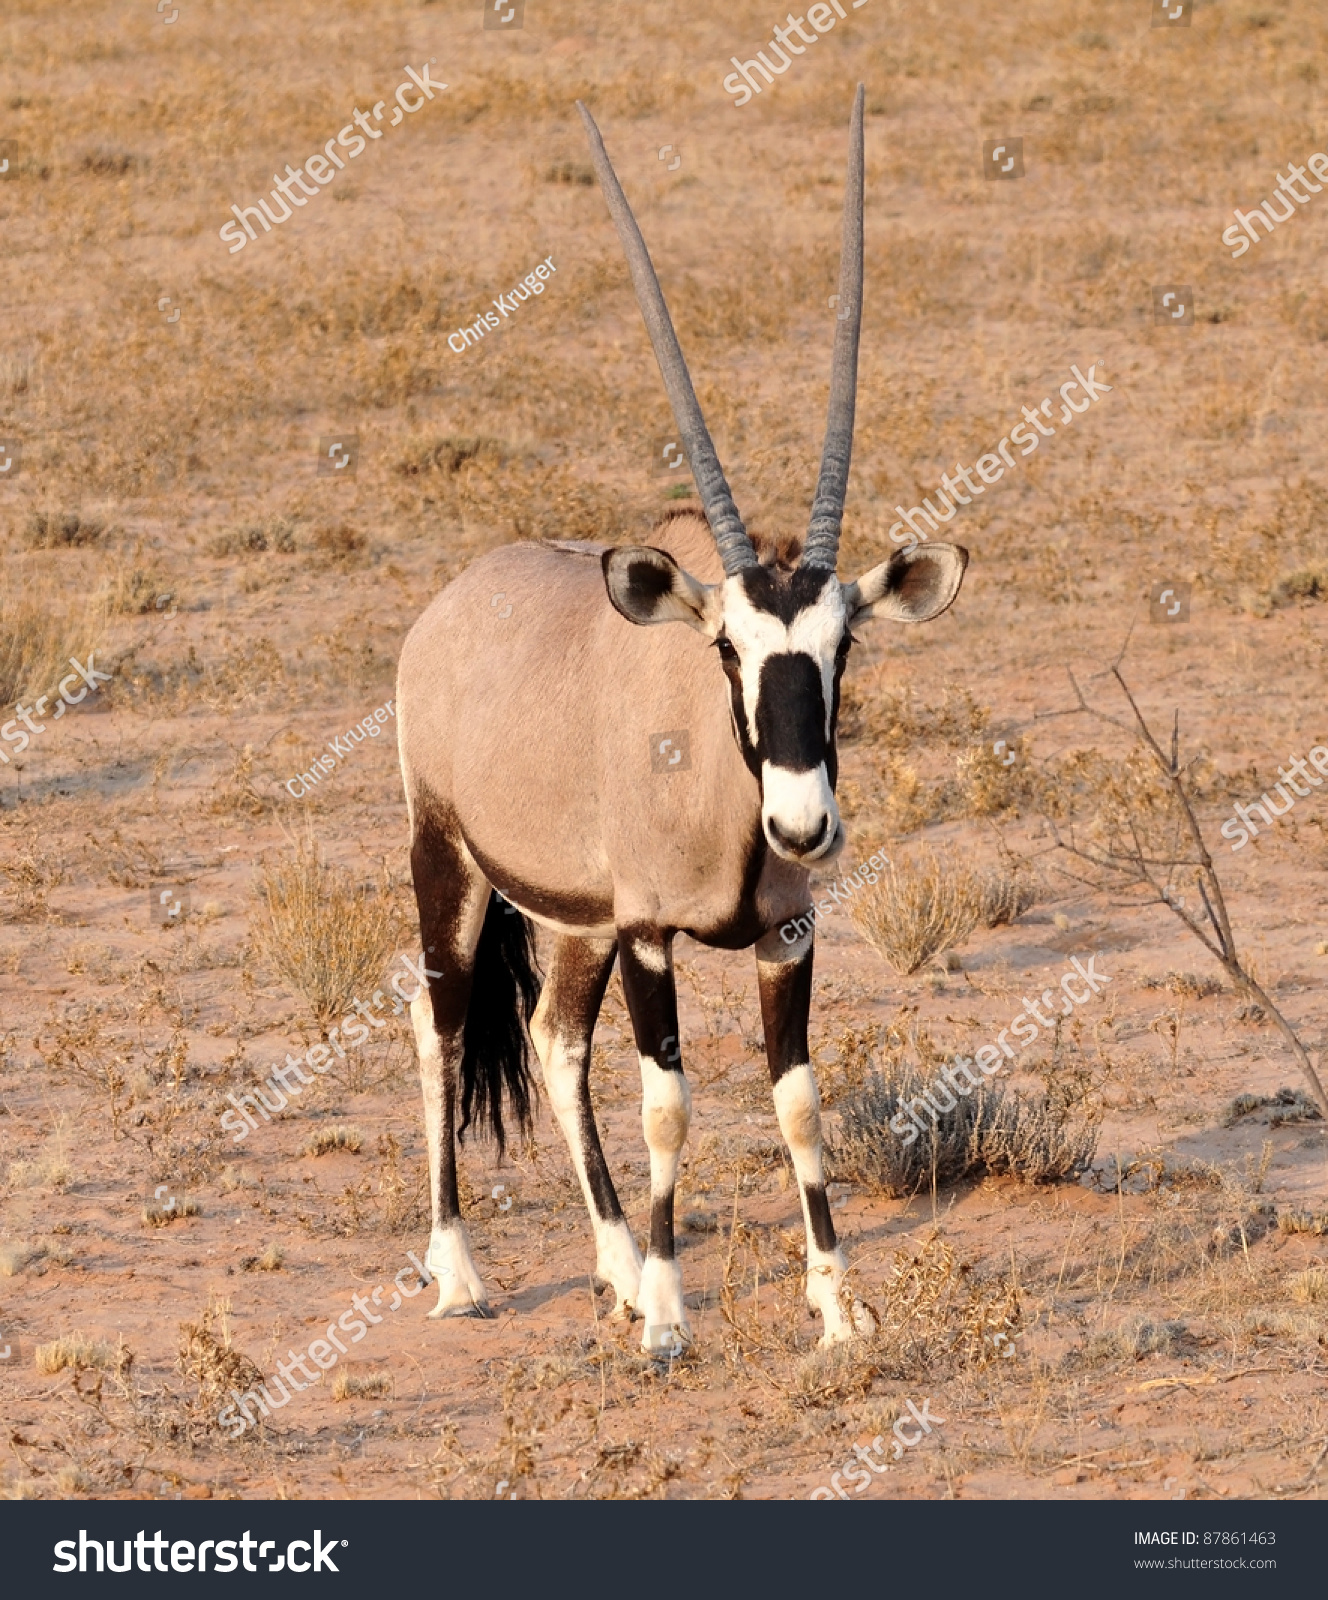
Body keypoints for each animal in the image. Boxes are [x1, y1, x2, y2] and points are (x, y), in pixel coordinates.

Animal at [395, 87, 966, 1356]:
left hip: (575, 922)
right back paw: (462, 1269)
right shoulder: (654, 933)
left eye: (842, 647)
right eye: (725, 652)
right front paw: (667, 1310)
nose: (802, 826)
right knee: (441, 1024)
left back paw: (609, 1257)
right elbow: (669, 1102)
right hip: (447, 859)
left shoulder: (782, 932)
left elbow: (796, 1102)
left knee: (553, 1041)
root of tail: (454, 600)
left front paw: (836, 1300)